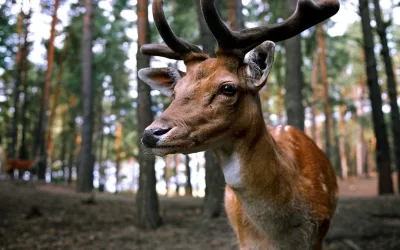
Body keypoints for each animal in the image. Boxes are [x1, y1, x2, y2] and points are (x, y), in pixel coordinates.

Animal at [139, 0, 340, 249]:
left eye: (228, 88)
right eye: (175, 91)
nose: (151, 133)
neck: (279, 235)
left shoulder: (319, 233)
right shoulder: (244, 240)